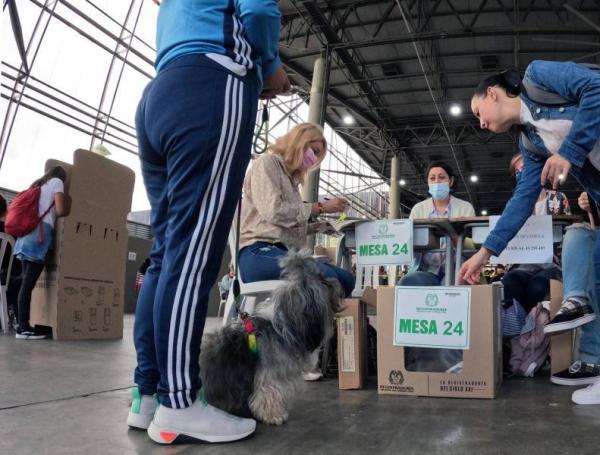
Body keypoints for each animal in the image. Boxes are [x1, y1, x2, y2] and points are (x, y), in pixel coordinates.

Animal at [200, 251, 344, 426]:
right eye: (323, 281)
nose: (337, 281)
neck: (282, 328)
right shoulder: (270, 376)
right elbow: (268, 393)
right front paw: (274, 416)